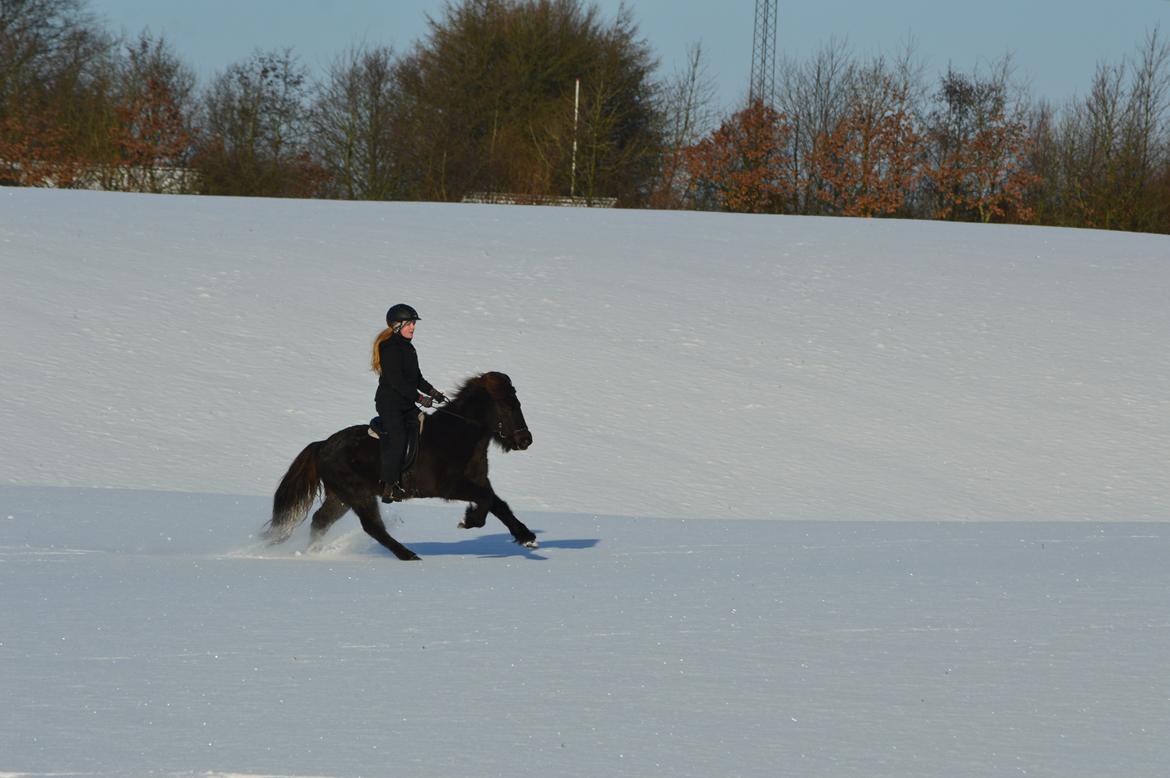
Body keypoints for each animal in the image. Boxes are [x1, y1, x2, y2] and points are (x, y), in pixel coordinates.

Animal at [265, 372, 535, 559]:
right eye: (508, 405)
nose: (526, 440)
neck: (458, 434)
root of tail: (322, 445)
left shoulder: (478, 481)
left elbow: (499, 504)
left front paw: (526, 537)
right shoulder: (450, 487)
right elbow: (487, 500)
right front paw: (469, 521)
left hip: (340, 497)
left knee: (320, 520)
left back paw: (314, 551)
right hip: (358, 494)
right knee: (372, 526)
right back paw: (408, 555)